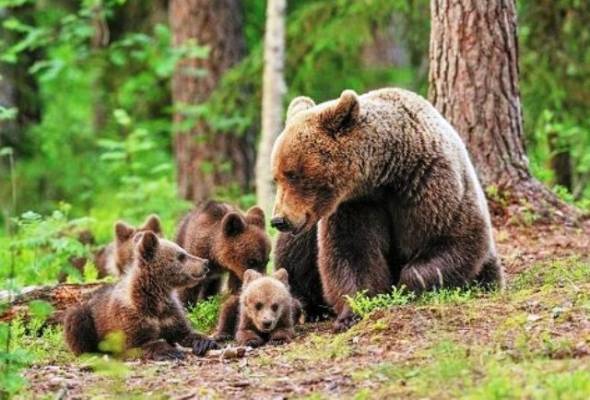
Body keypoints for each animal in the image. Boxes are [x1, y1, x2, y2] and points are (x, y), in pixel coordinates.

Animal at [270, 88, 506, 332]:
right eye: (276, 176)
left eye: (292, 174)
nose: (279, 220)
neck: (386, 175)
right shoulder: (356, 206)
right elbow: (352, 254)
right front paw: (352, 312)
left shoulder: (431, 184)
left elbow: (452, 239)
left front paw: (406, 287)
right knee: (295, 253)